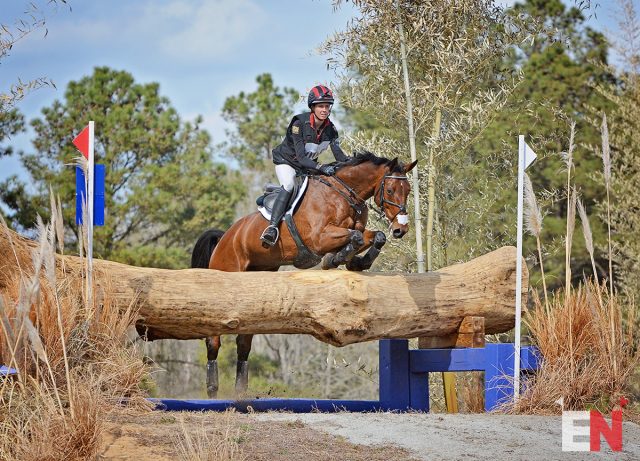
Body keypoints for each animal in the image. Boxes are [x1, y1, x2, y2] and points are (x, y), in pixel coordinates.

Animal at [190, 153, 418, 398]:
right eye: (391, 190)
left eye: (408, 190)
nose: (401, 230)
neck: (344, 194)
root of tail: (225, 238)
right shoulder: (319, 238)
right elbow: (355, 237)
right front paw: (335, 259)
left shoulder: (353, 232)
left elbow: (374, 236)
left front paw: (356, 261)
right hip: (227, 278)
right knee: (214, 341)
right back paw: (212, 390)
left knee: (243, 343)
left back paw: (239, 393)